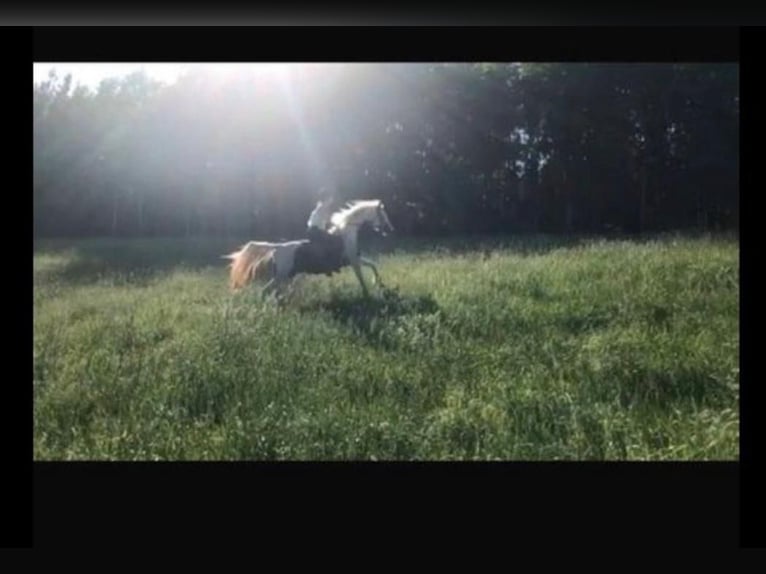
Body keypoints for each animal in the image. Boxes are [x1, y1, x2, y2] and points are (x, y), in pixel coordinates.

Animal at [223, 199, 395, 298]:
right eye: (383, 215)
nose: (390, 229)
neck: (347, 232)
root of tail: (276, 248)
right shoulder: (353, 261)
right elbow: (362, 276)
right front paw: (369, 292)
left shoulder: (355, 259)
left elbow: (373, 265)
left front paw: (379, 284)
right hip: (281, 276)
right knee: (266, 291)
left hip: (286, 276)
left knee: (274, 291)